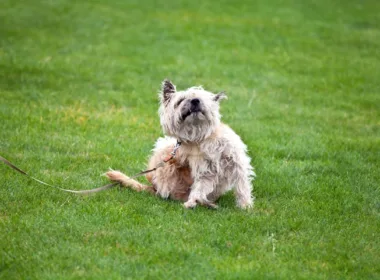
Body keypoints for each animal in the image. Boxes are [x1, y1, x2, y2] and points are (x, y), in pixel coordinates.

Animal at [106, 80, 255, 209]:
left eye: (200, 98)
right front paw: (192, 202)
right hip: (165, 149)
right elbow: (200, 188)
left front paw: (245, 206)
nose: (195, 101)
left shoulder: (236, 163)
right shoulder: (205, 171)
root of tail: (154, 188)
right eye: (180, 101)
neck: (201, 137)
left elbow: (242, 185)